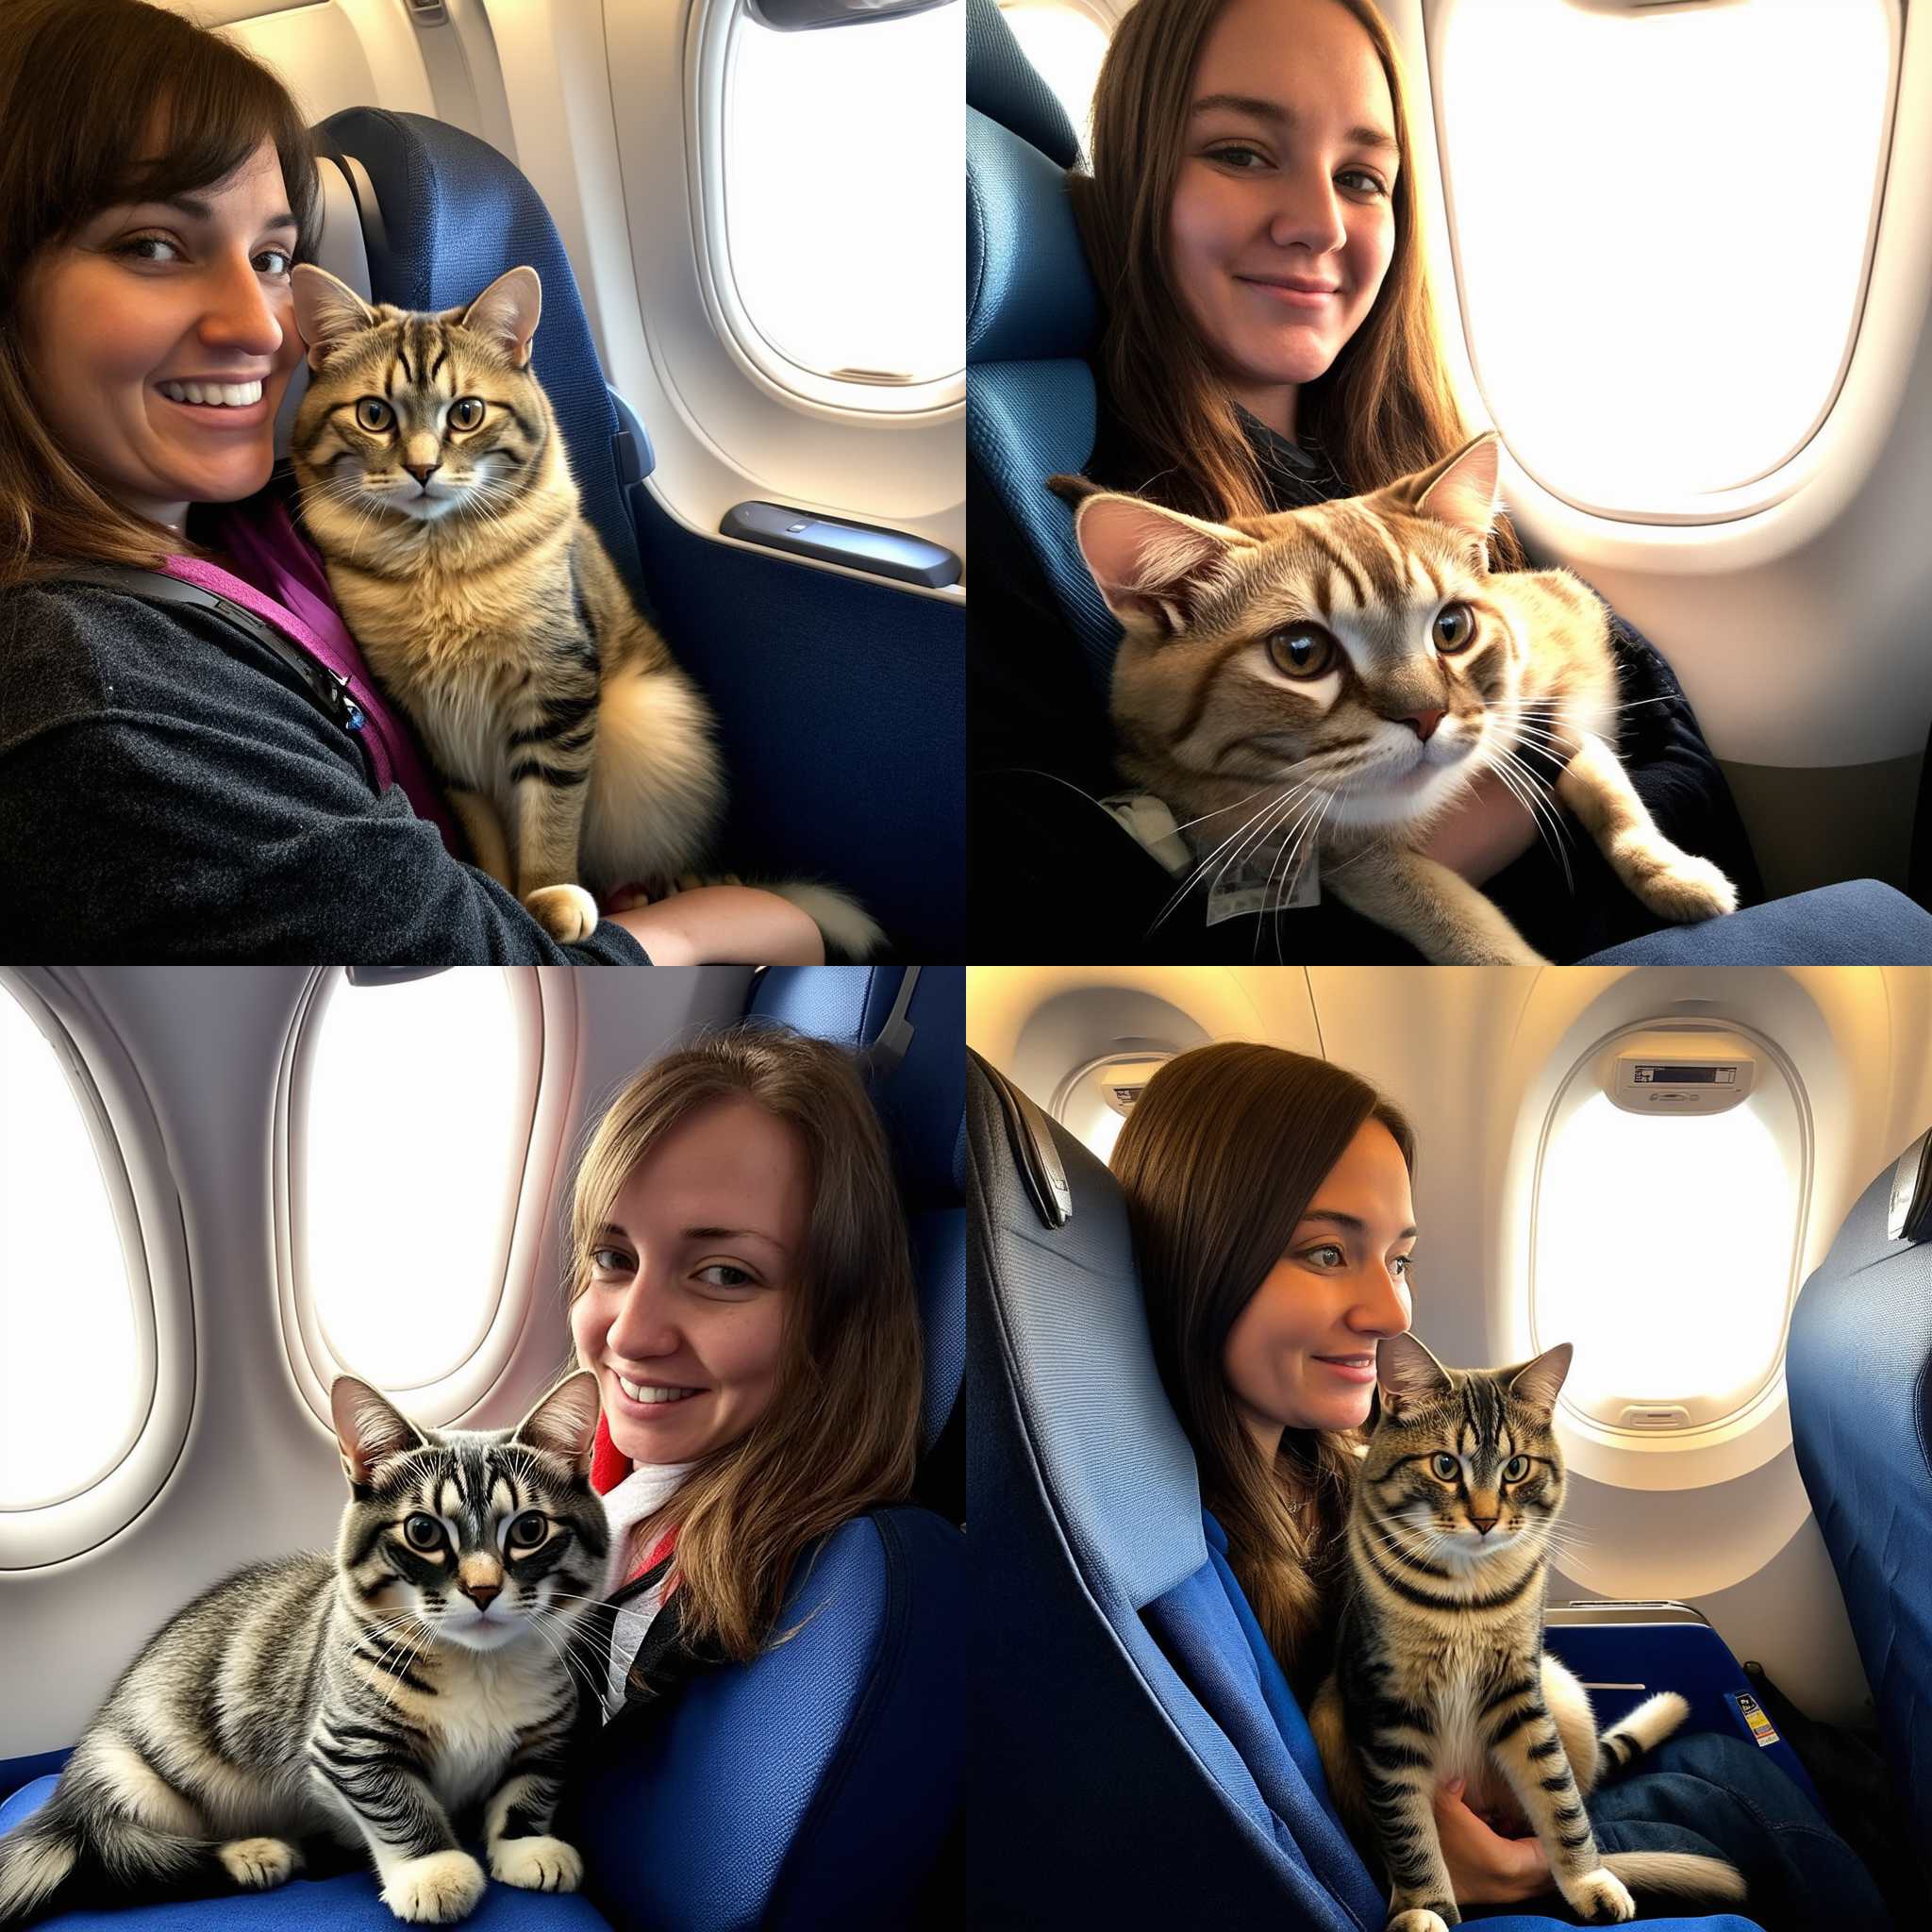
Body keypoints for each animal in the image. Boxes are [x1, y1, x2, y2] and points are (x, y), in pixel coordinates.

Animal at [0, 1375, 610, 1932]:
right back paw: (250, 1853)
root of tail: (67, 1796)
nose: (483, 1589)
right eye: (423, 1531)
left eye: (529, 1529)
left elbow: (530, 1787)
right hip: (127, 1776)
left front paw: (525, 1845)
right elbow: (398, 1802)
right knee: (122, 1855)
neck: (479, 1666)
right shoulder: (346, 1740)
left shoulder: (550, 1732)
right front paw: (433, 1869)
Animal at [282, 268, 880, 961]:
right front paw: (510, 895)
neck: (438, 568)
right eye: (374, 414)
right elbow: (486, 833)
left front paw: (546, 893)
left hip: (650, 718)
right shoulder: (434, 722)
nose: (423, 468)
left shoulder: (557, 692)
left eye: (467, 413)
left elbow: (550, 815)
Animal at [1058, 441, 1739, 966]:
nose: (1426, 716)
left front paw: (1669, 870)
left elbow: (1605, 786)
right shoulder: (1342, 857)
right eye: (1300, 653)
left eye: (1452, 629)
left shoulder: (1554, 711)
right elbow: (1442, 908)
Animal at [1313, 1337, 1754, 1924]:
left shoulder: (1519, 1692)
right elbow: (1407, 1829)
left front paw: (1589, 1880)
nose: (1484, 1520)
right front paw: (1427, 1907)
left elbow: (1558, 1796)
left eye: (1516, 1468)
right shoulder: (1387, 1712)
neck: (1467, 1593)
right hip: (1327, 1715)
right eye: (1445, 1465)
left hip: (1561, 1690)